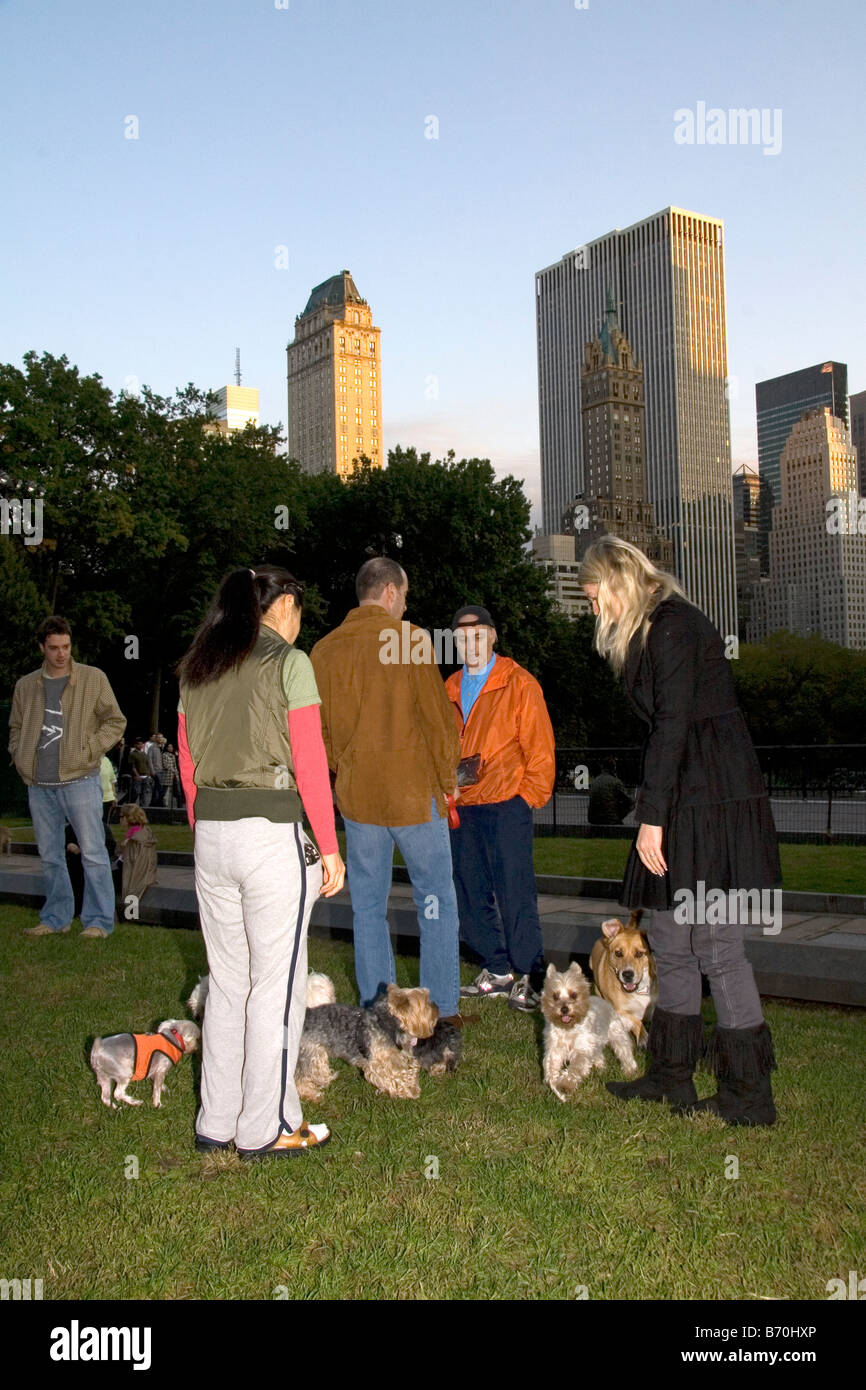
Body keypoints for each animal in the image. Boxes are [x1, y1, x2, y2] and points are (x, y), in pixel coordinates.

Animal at [589, 906, 656, 1045]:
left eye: (639, 954)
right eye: (618, 953)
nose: (627, 974)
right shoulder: (619, 1010)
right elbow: (636, 1022)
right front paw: (643, 1039)